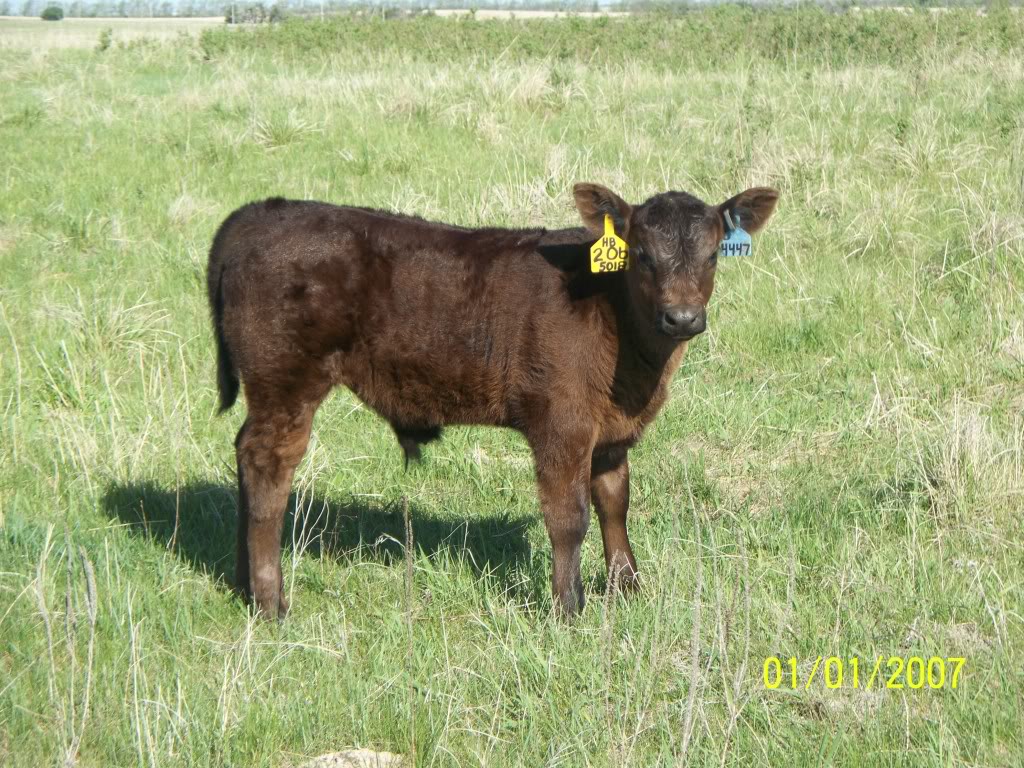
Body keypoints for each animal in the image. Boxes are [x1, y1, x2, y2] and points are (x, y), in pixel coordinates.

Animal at [211, 185, 778, 618]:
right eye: (641, 254)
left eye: (712, 255)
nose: (682, 318)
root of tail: (257, 213)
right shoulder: (562, 423)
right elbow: (569, 516)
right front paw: (568, 608)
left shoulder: (611, 434)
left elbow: (615, 503)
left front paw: (628, 590)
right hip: (287, 382)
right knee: (268, 467)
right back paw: (272, 603)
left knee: (243, 452)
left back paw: (242, 585)